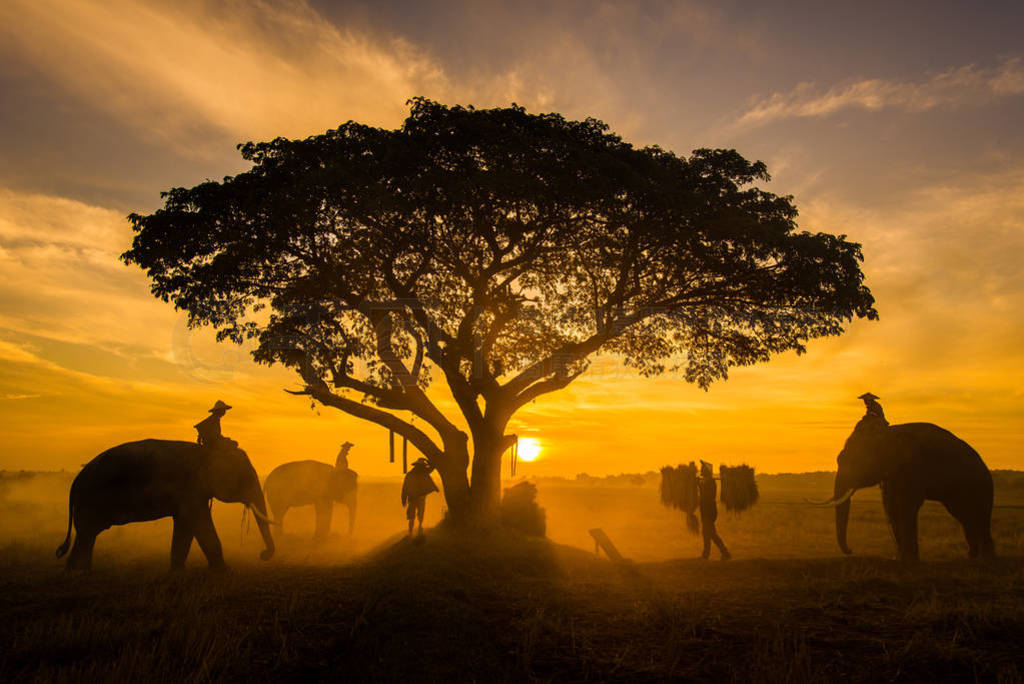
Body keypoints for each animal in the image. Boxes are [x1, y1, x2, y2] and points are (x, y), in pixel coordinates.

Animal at [57, 440, 274, 569]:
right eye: (246, 478)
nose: (263, 555)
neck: (207, 452)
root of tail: (76, 481)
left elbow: (186, 529)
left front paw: (178, 572)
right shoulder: (191, 490)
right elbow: (199, 525)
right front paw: (225, 573)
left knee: (87, 537)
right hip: (90, 500)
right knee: (86, 535)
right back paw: (77, 576)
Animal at [819, 417, 995, 561]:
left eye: (854, 461)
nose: (851, 551)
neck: (888, 433)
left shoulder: (911, 469)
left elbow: (906, 506)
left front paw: (908, 559)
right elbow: (892, 506)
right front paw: (902, 558)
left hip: (980, 485)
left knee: (979, 516)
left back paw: (986, 558)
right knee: (964, 515)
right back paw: (972, 556)